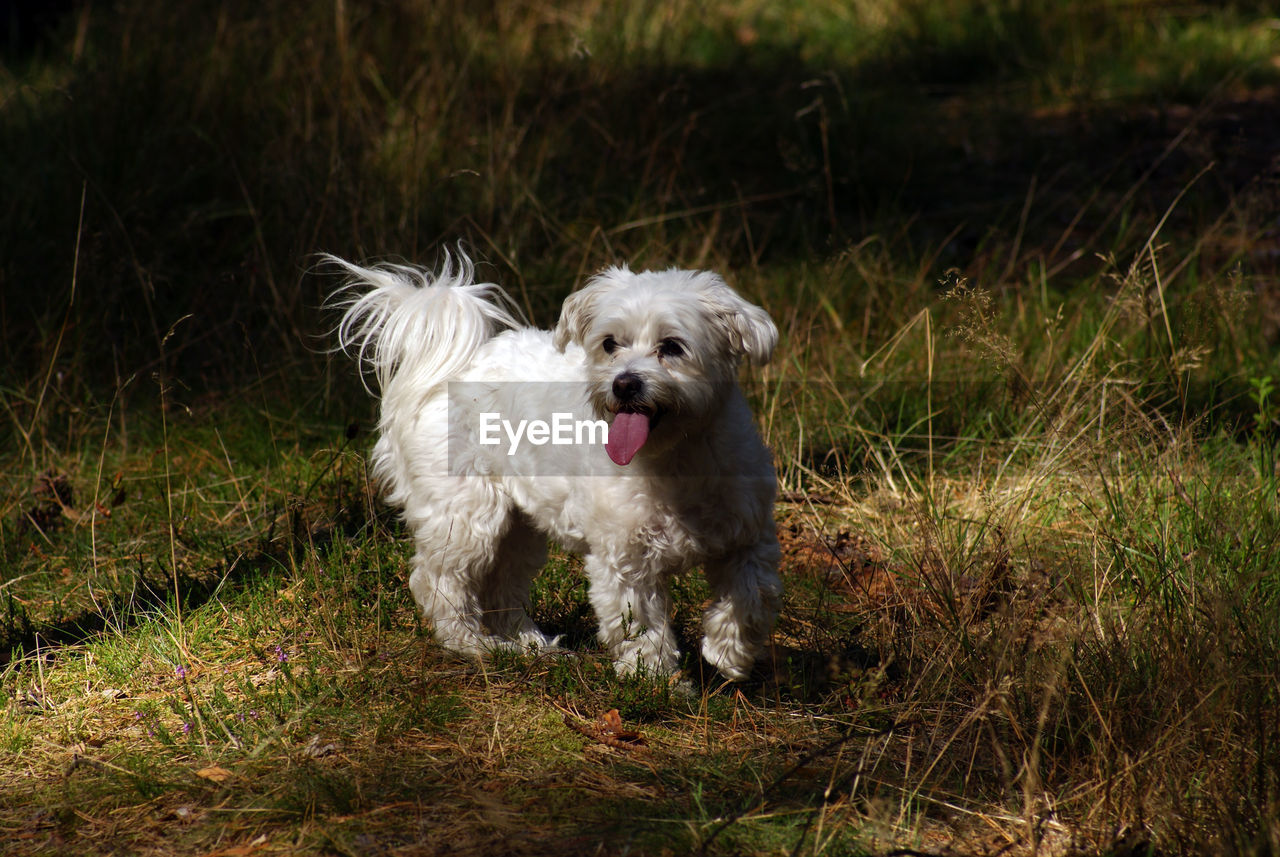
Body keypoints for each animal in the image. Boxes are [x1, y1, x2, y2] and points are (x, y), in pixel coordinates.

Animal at [327, 251, 778, 680]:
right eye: (610, 344)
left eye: (672, 346)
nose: (624, 383)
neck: (675, 459)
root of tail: (450, 369)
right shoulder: (625, 560)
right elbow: (640, 627)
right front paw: (658, 683)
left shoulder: (750, 538)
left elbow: (753, 597)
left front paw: (729, 654)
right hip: (466, 517)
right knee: (439, 581)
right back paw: (471, 644)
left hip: (519, 528)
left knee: (501, 586)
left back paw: (529, 644)